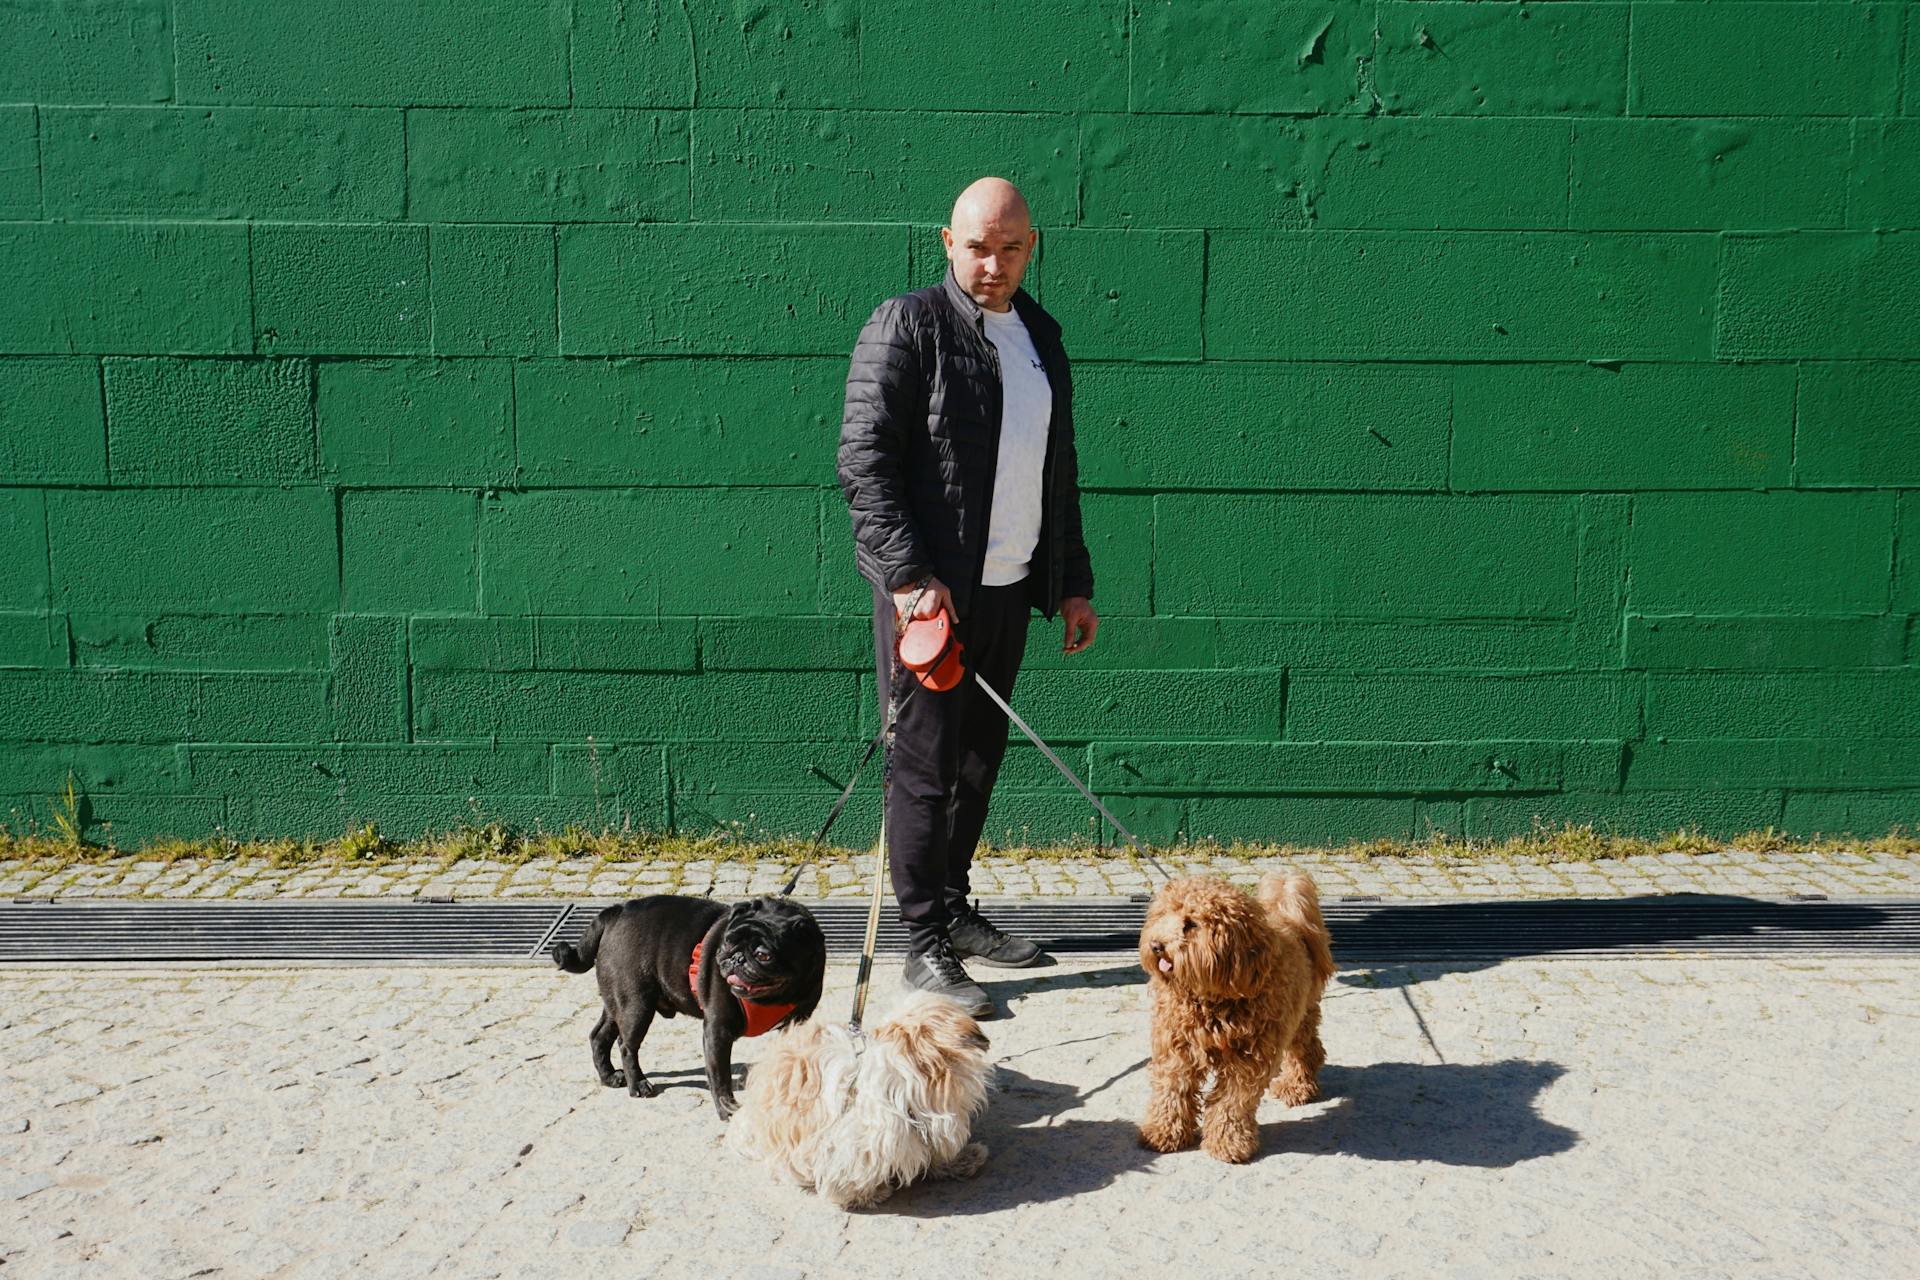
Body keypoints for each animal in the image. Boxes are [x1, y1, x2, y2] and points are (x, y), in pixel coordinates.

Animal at [1136, 875, 1336, 1166]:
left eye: (1191, 924)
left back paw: (1297, 1085)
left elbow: (1232, 1102)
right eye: (1162, 914)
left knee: (1307, 1050)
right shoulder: (1177, 1049)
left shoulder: (1248, 1059)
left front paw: (1228, 1142)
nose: (1155, 946)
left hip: (1299, 1017)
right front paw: (1162, 1132)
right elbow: (1172, 1090)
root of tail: (1289, 916)